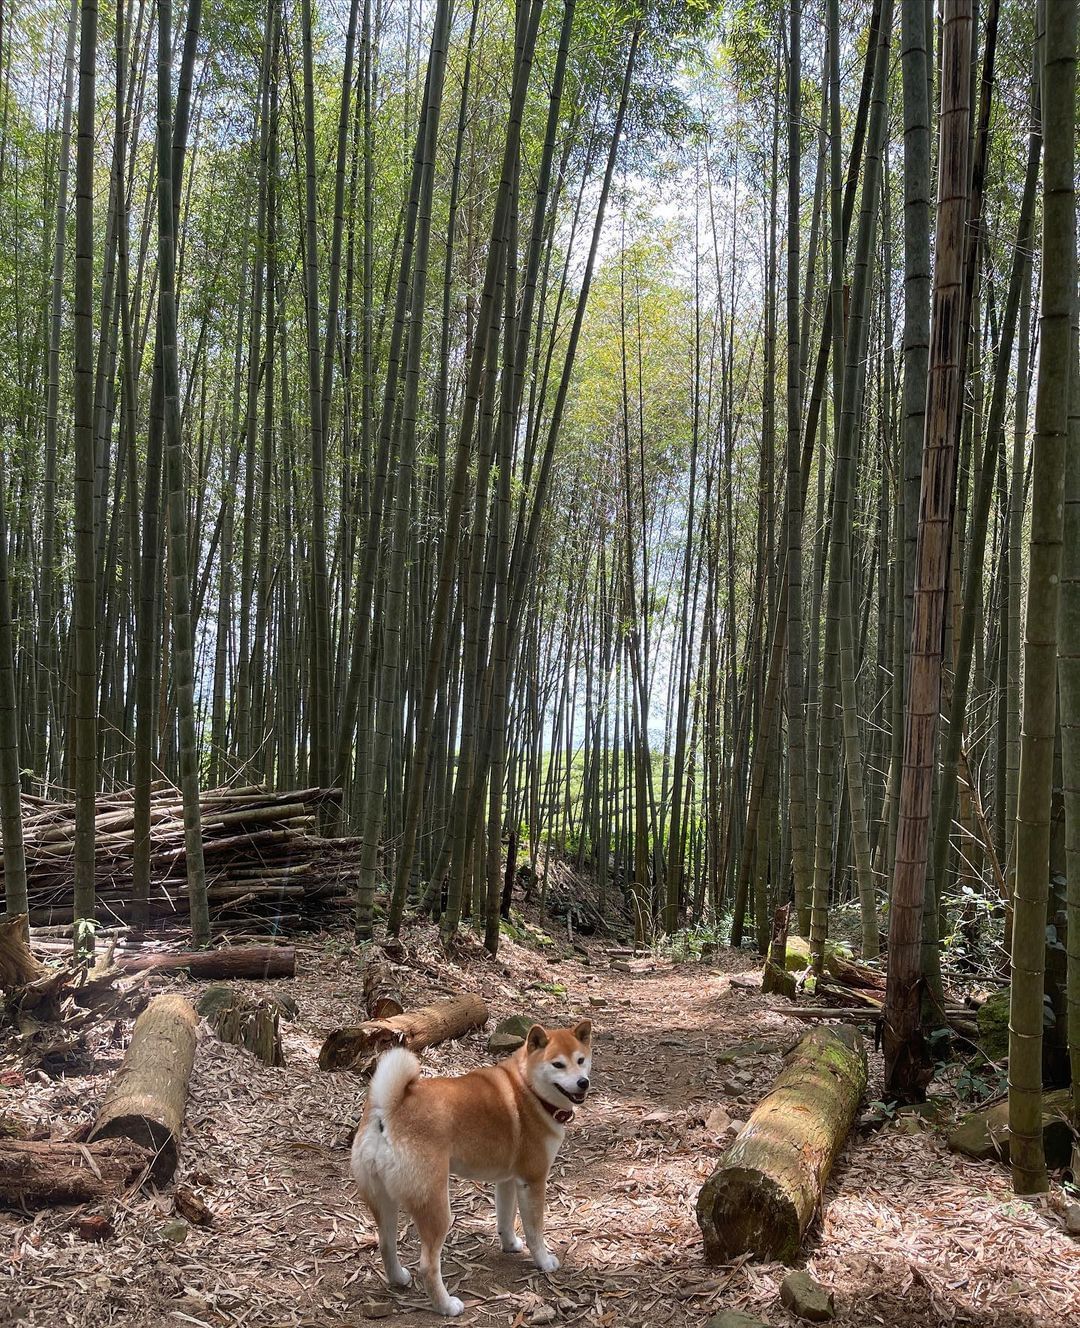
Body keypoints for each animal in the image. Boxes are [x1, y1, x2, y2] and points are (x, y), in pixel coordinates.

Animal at [350, 1019, 589, 1312]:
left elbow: (505, 1219)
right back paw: (446, 1306)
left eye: (581, 1060)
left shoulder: (507, 1180)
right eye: (558, 1064)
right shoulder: (533, 1180)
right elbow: (535, 1231)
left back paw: (398, 1279)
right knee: (427, 1265)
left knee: (386, 1244)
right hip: (437, 1208)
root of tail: (388, 1110)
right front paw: (544, 1262)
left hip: (384, 1201)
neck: (527, 1088)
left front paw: (510, 1244)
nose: (583, 1082)